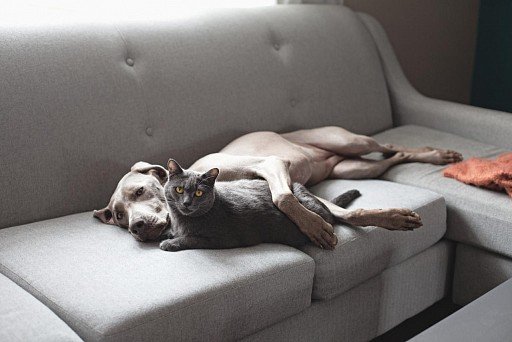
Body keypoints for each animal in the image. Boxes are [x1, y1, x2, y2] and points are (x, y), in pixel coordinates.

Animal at [160, 160, 360, 251]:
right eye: (179, 189)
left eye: (199, 193)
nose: (186, 203)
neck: (181, 220)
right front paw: (168, 233)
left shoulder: (223, 239)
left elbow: (191, 239)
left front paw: (169, 243)